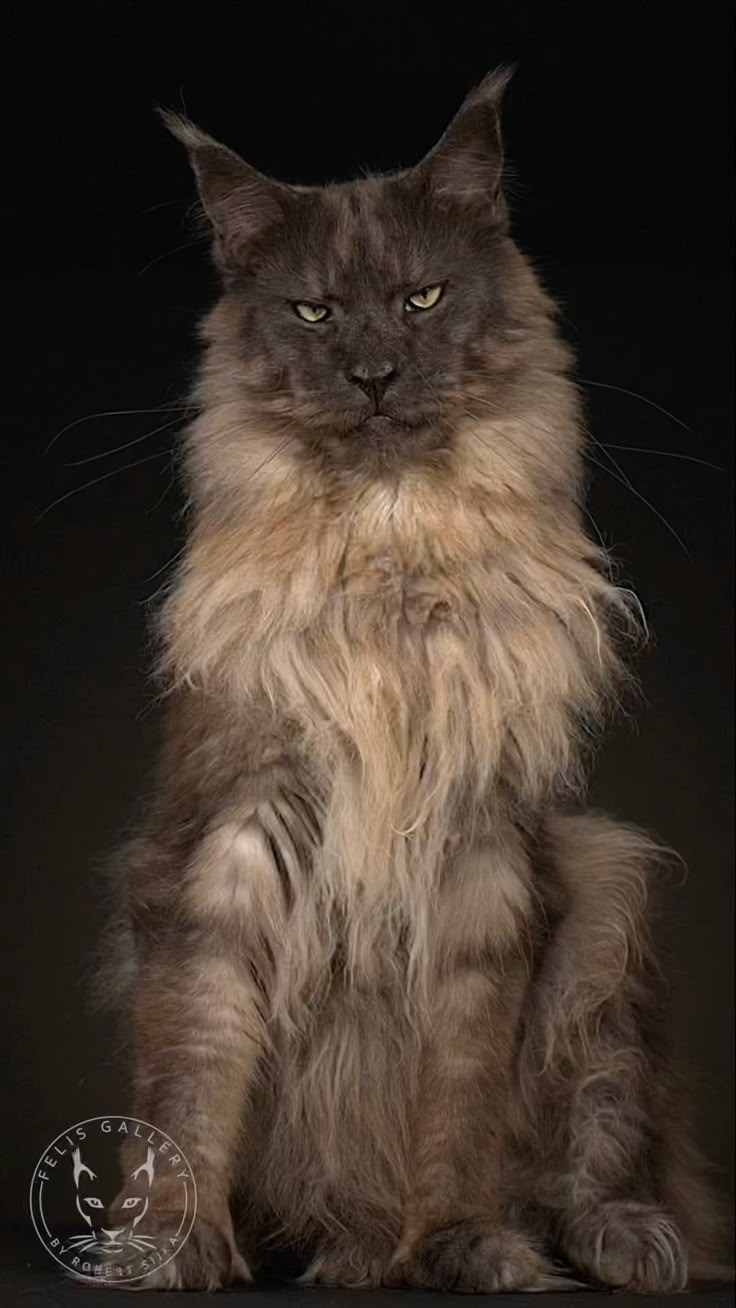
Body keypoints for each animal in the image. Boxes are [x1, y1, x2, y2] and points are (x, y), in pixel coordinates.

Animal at [103, 74, 726, 1297]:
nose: (374, 374)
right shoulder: (229, 837)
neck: (389, 578)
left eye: (420, 298)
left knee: (607, 1152)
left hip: (605, 894)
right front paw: (179, 1244)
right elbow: (193, 1078)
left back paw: (624, 1244)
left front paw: (458, 1244)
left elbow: (460, 1107)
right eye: (312, 314)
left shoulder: (483, 858)